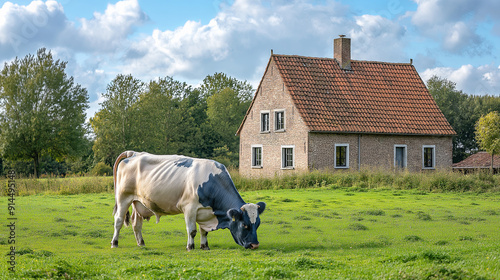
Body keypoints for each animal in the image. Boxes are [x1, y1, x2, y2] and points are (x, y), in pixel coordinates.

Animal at [109, 152, 266, 250]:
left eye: (258, 224)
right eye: (245, 225)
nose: (255, 245)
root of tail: (134, 153)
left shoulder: (205, 212)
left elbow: (204, 232)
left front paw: (205, 246)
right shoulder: (189, 208)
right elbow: (192, 230)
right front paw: (190, 246)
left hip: (138, 202)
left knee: (136, 224)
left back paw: (141, 243)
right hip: (123, 198)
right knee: (118, 221)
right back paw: (114, 243)